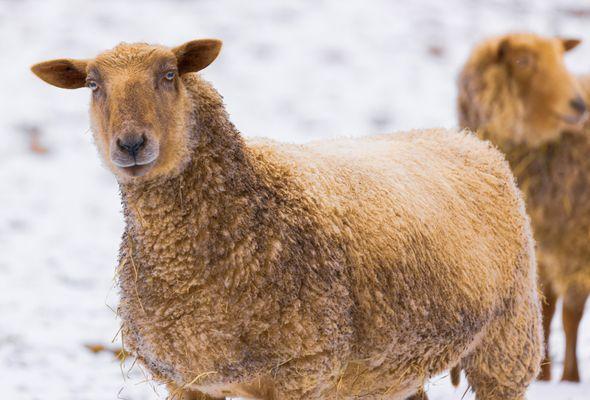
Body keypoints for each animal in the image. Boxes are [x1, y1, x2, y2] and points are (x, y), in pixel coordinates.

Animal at [30, 40, 544, 400]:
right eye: (93, 84)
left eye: (170, 74)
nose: (132, 144)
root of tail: (468, 139)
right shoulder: (189, 379)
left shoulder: (301, 369)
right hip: (391, 368)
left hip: (509, 340)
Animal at [458, 32, 590, 382]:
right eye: (522, 61)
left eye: (562, 59)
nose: (579, 105)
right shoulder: (540, 245)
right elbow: (546, 309)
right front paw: (543, 374)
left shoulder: (577, 243)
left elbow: (571, 314)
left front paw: (570, 378)